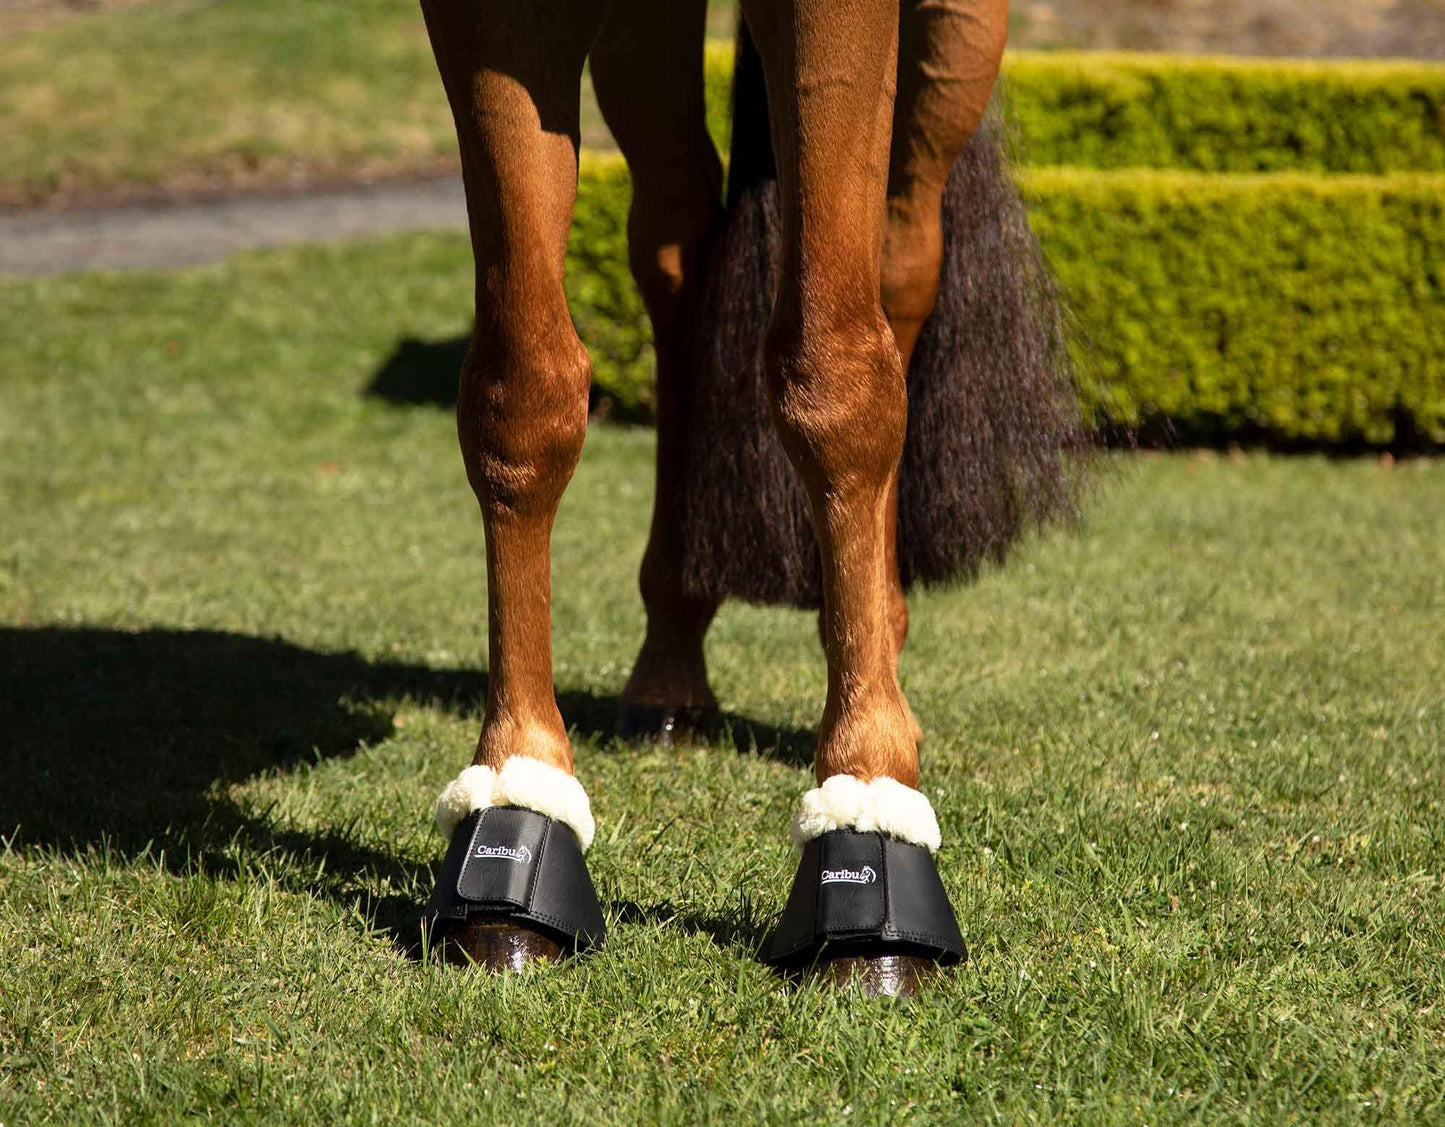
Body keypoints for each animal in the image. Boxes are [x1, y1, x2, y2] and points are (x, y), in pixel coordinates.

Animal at [417, 0, 1085, 995]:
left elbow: (836, 373)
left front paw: (865, 814)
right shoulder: (490, 24)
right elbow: (522, 394)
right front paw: (515, 791)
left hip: (955, 40)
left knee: (899, 256)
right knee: (678, 247)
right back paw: (671, 649)